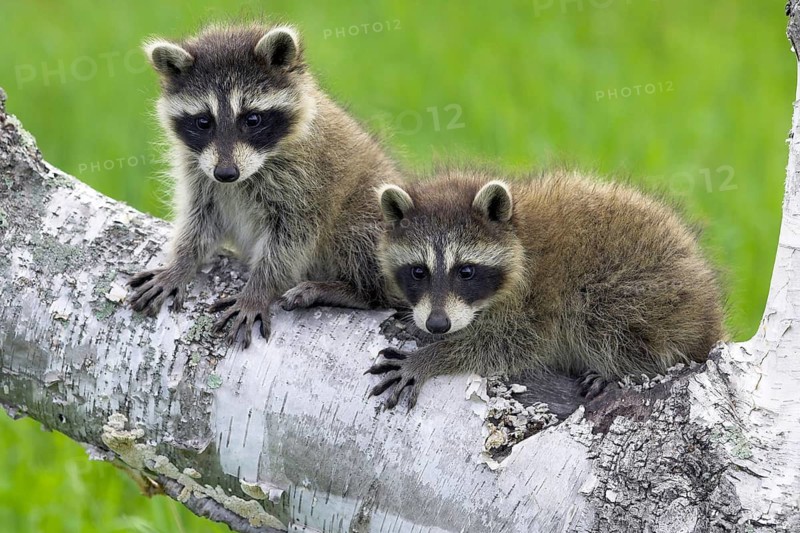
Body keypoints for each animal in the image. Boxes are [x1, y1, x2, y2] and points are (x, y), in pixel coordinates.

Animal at [128, 23, 399, 347]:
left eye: (252, 119)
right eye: (204, 121)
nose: (226, 173)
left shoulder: (308, 181)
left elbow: (291, 240)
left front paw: (259, 289)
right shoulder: (199, 171)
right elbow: (200, 218)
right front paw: (181, 263)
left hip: (370, 210)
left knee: (359, 236)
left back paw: (357, 292)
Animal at [367, 168, 724, 409]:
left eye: (466, 271)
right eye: (418, 272)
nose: (437, 324)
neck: (519, 234)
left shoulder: (536, 301)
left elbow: (505, 345)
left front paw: (431, 357)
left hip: (649, 291)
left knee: (602, 316)